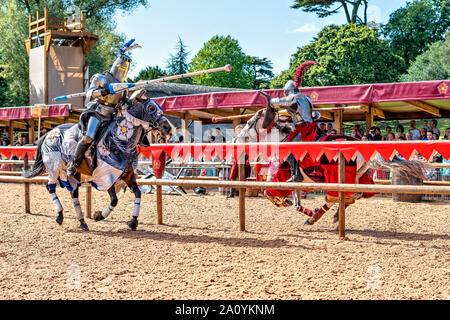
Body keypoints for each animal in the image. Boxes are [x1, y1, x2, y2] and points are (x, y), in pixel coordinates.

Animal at [23, 89, 173, 231]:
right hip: (54, 167)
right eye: (151, 108)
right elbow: (114, 200)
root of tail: (48, 133)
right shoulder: (106, 176)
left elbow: (137, 193)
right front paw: (98, 216)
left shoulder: (128, 176)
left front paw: (133, 222)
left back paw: (82, 222)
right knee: (50, 187)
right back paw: (60, 215)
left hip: (73, 173)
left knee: (73, 192)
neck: (119, 142)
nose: (167, 128)